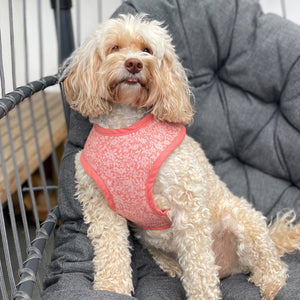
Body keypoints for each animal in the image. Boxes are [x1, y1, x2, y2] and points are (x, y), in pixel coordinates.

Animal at [61, 14, 300, 300]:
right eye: (114, 48)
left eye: (147, 49)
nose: (134, 64)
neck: (126, 126)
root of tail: (229, 269)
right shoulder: (100, 204)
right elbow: (110, 250)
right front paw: (111, 288)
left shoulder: (188, 205)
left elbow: (199, 266)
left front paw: (204, 296)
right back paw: (173, 266)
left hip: (243, 221)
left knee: (269, 261)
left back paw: (272, 284)